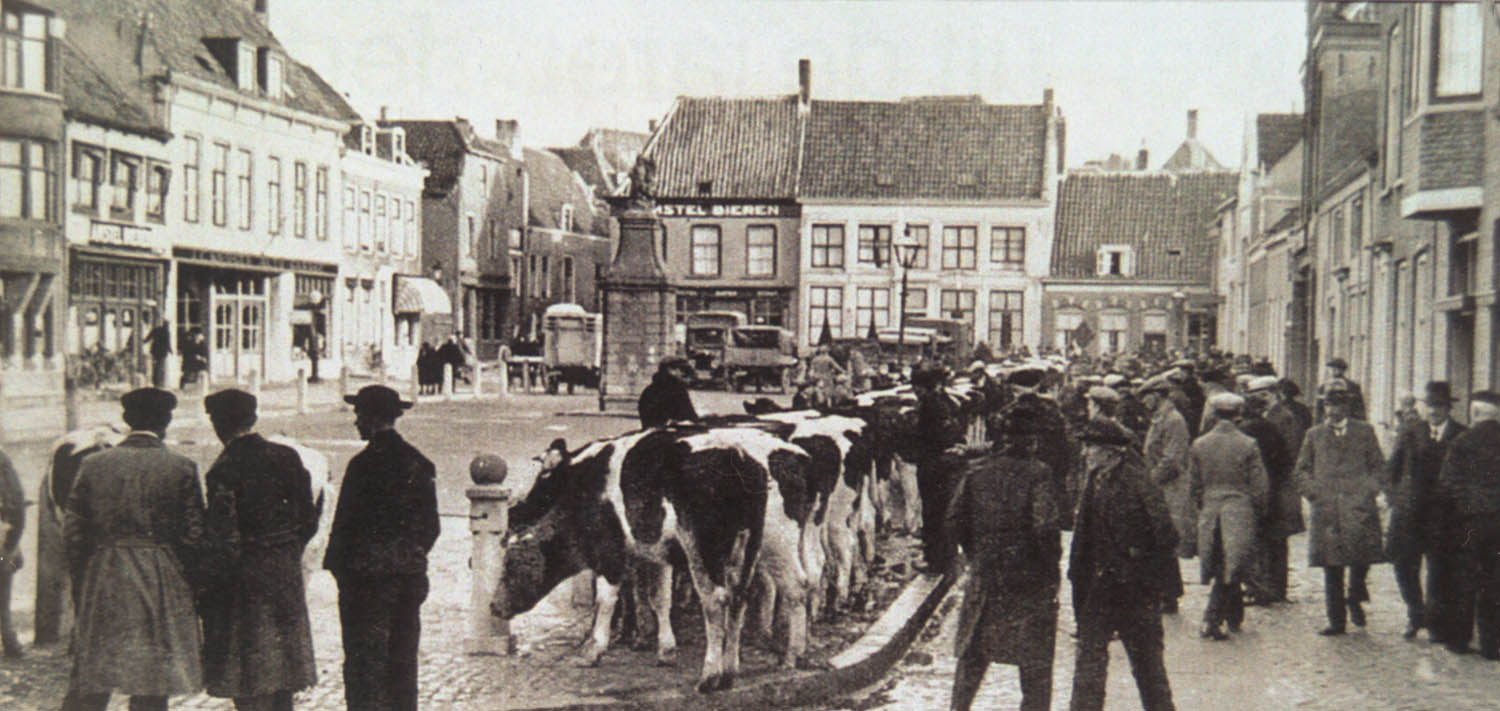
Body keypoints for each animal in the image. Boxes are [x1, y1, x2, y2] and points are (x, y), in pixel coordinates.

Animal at [498, 426, 816, 693]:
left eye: (544, 476)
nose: (494, 607)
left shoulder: (610, 550)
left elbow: (606, 599)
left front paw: (593, 649)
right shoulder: (656, 553)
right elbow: (659, 598)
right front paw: (665, 649)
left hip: (720, 546)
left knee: (720, 599)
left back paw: (712, 675)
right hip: (765, 542)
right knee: (776, 589)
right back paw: (774, 660)